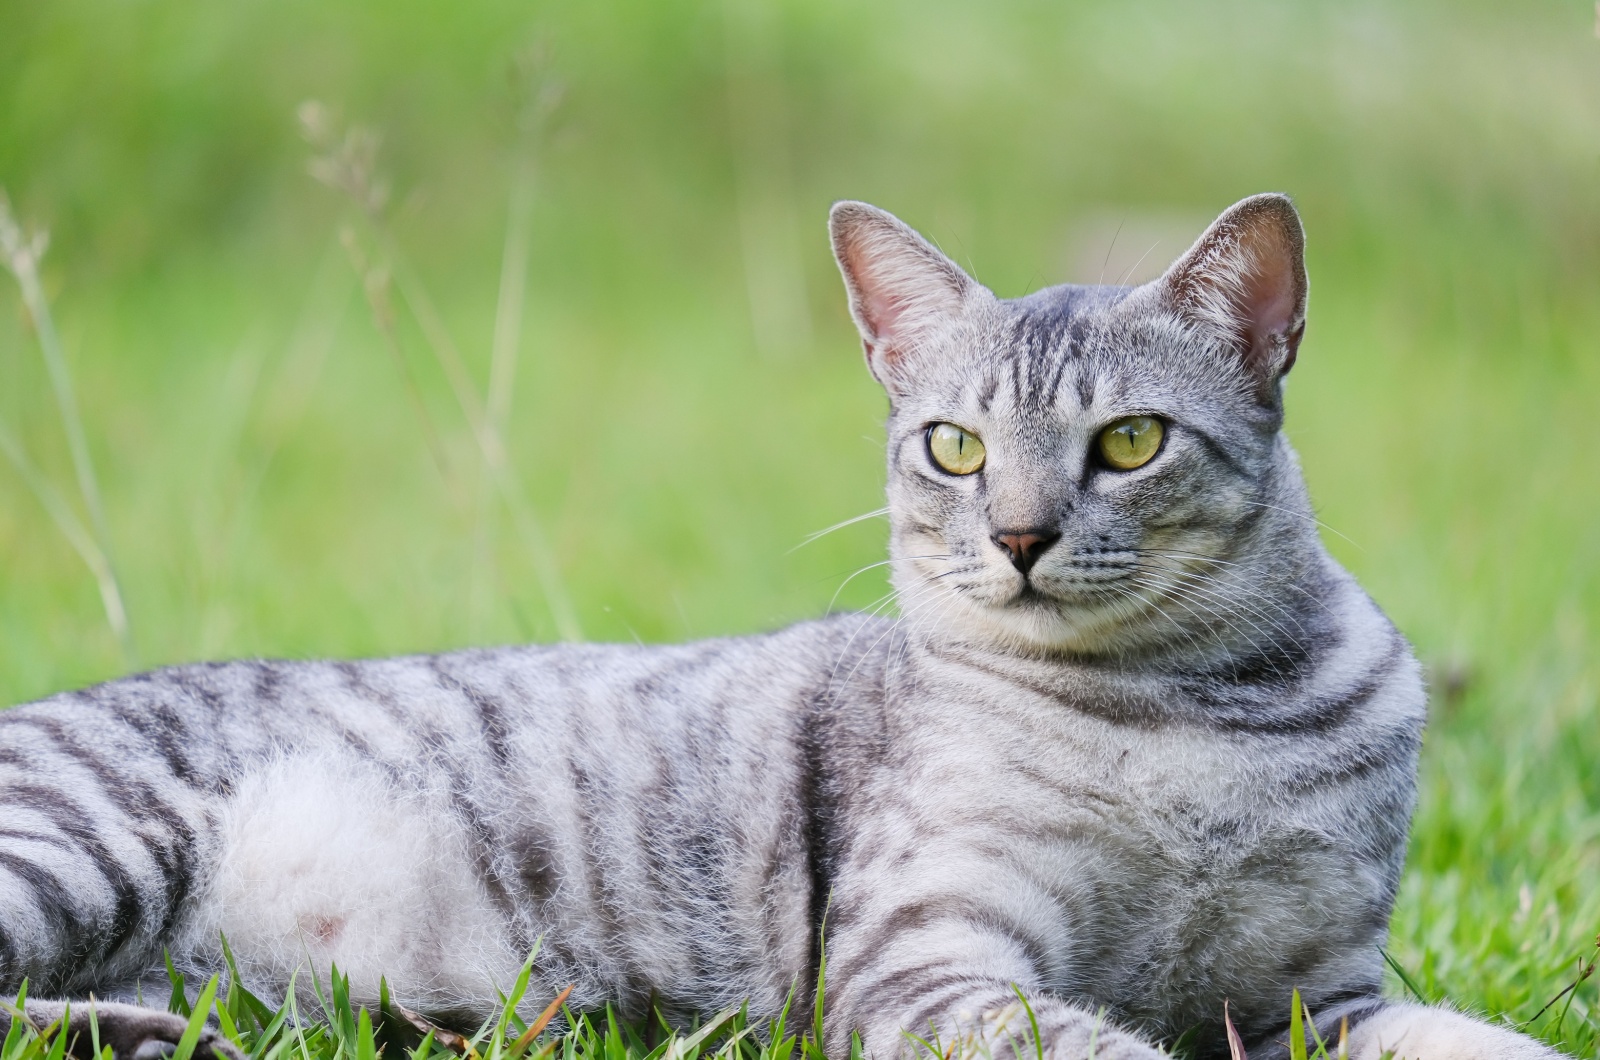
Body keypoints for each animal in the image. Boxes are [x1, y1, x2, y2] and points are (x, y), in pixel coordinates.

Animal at [0, 192, 1555, 1060]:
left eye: (1127, 441)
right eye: (952, 449)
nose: (1018, 536)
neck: (1197, 707)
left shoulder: (1314, 1000)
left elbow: (1479, 1043)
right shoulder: (928, 963)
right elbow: (1103, 1049)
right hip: (90, 844)